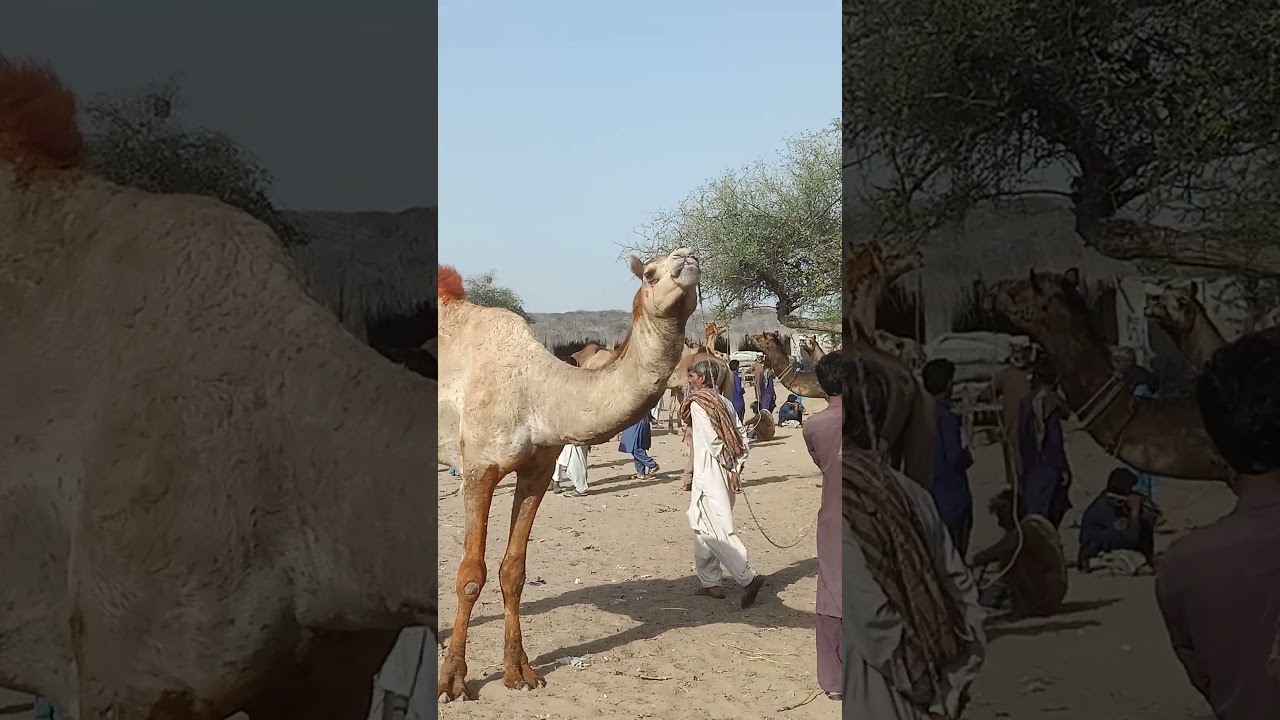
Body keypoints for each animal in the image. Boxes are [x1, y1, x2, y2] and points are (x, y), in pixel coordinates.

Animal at [437, 248, 700, 701]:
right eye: (649, 273)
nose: (688, 258)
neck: (539, 393)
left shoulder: (537, 470)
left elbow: (513, 572)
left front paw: (520, 672)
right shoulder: (478, 469)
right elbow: (471, 575)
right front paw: (453, 680)